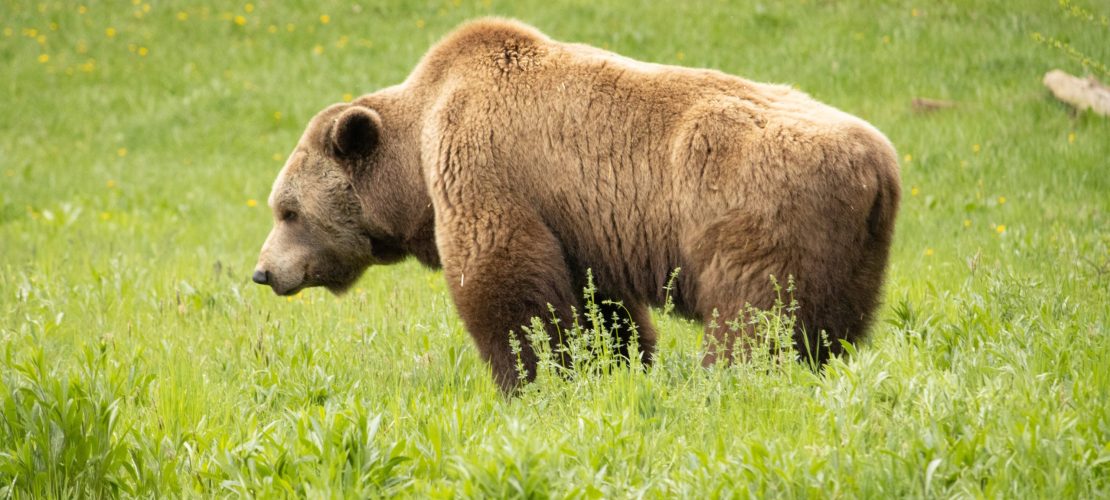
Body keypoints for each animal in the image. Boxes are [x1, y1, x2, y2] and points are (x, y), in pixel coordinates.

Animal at [252, 18, 901, 394]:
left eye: (288, 211)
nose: (263, 271)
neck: (413, 162)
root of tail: (880, 165)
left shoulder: (485, 166)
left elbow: (505, 282)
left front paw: (530, 379)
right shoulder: (579, 221)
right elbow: (599, 304)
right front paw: (613, 365)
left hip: (756, 213)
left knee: (754, 316)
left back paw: (730, 381)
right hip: (852, 253)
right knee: (830, 327)